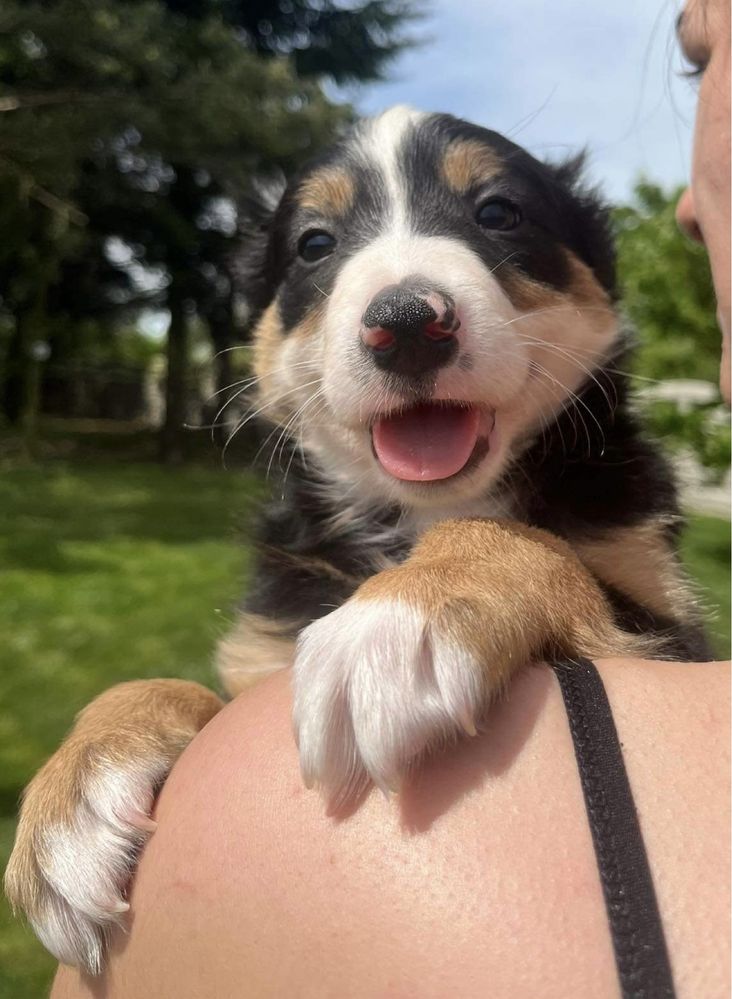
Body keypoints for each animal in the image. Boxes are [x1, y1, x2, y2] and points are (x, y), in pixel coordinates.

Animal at [4, 105, 708, 972]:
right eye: (315, 243)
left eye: (498, 212)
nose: (407, 324)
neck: (414, 513)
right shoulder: (268, 646)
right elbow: (170, 685)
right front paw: (79, 783)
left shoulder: (667, 622)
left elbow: (519, 536)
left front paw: (400, 620)